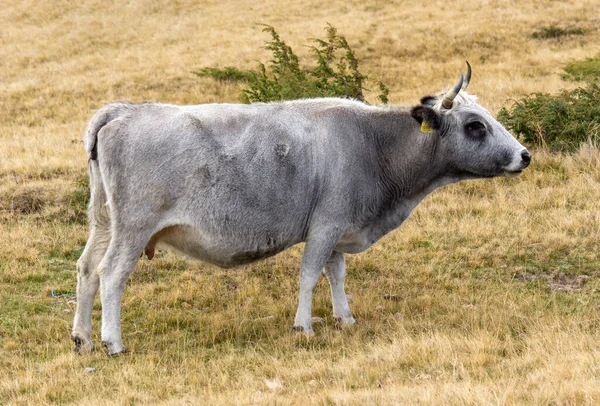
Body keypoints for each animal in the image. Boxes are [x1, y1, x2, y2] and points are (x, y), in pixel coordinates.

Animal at [71, 63, 528, 356]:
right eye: (475, 125)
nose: (524, 155)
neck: (373, 144)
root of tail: (125, 110)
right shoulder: (325, 226)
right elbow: (310, 275)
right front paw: (304, 327)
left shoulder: (343, 230)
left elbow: (336, 276)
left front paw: (346, 319)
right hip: (133, 228)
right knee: (111, 275)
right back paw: (113, 343)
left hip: (104, 223)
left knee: (87, 269)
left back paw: (83, 339)